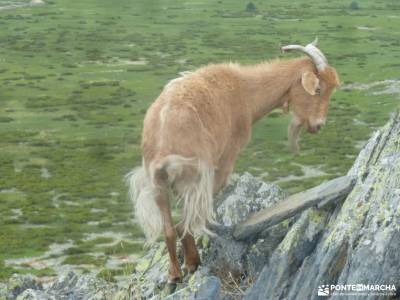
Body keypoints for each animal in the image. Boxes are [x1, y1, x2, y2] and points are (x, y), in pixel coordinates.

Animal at [126, 38, 340, 282]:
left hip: (158, 184)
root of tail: (163, 141)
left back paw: (175, 273)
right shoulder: (227, 157)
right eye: (318, 89)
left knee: (170, 229)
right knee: (186, 222)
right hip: (194, 177)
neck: (245, 91)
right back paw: (192, 262)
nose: (318, 125)